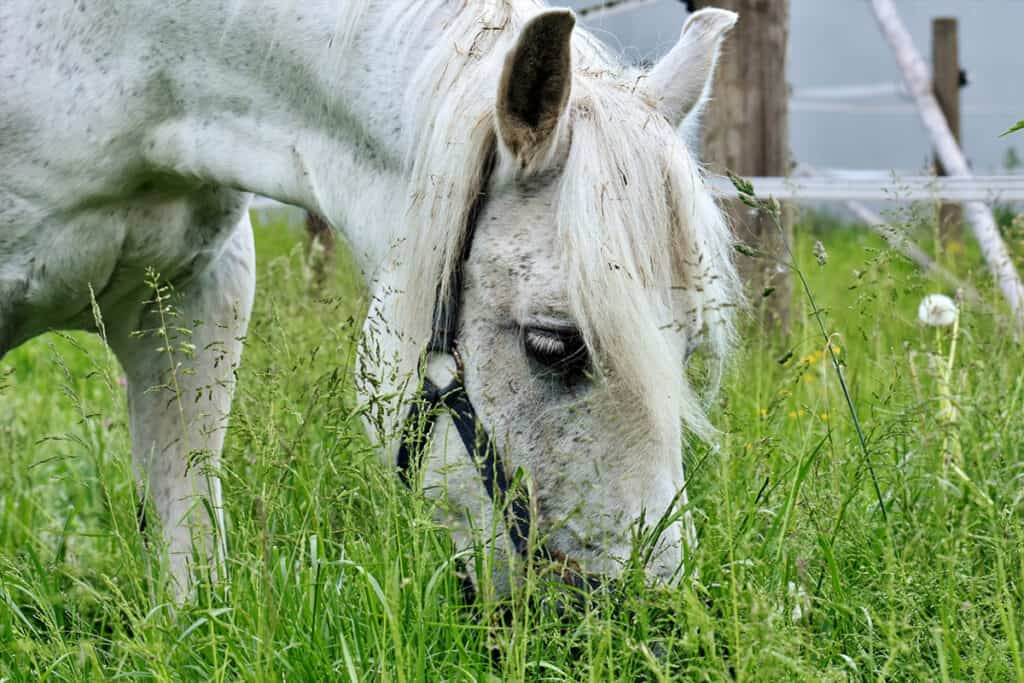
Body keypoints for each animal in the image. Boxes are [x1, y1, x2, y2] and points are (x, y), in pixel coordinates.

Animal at [0, 0, 740, 598]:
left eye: (686, 345)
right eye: (553, 344)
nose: (641, 616)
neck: (133, 72)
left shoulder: (194, 299)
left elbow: (189, 554)